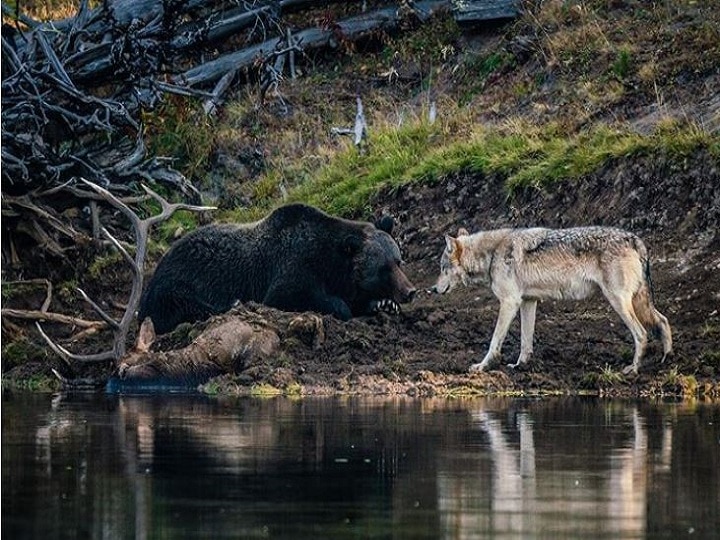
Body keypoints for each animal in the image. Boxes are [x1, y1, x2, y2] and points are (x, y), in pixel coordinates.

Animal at [139, 201, 416, 334]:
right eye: (383, 267)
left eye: (398, 261)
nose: (410, 291)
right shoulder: (291, 267)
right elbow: (292, 295)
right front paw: (341, 307)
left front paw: (384, 304)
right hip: (177, 281)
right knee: (184, 304)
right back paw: (231, 304)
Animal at [434, 226, 676, 374]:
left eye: (442, 268)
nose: (432, 289)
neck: (493, 254)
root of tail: (635, 239)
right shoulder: (527, 302)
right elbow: (526, 341)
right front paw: (521, 366)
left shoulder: (509, 302)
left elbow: (494, 341)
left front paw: (483, 366)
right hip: (636, 302)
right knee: (663, 321)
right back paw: (667, 359)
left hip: (618, 302)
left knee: (642, 334)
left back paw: (633, 370)